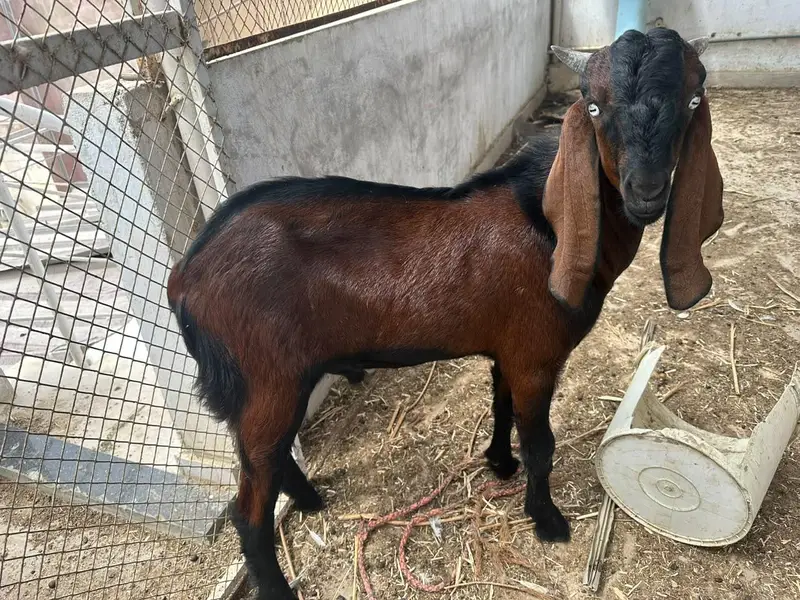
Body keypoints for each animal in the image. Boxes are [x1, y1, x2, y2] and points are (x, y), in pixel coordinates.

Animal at [167, 28, 723, 600]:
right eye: (593, 106)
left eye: (693, 99)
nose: (647, 191)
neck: (545, 223)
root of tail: (186, 272)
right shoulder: (536, 354)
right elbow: (541, 442)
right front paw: (547, 520)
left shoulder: (508, 348)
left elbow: (502, 408)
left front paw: (500, 463)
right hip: (267, 381)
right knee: (248, 507)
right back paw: (279, 583)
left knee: (267, 460)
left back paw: (311, 500)